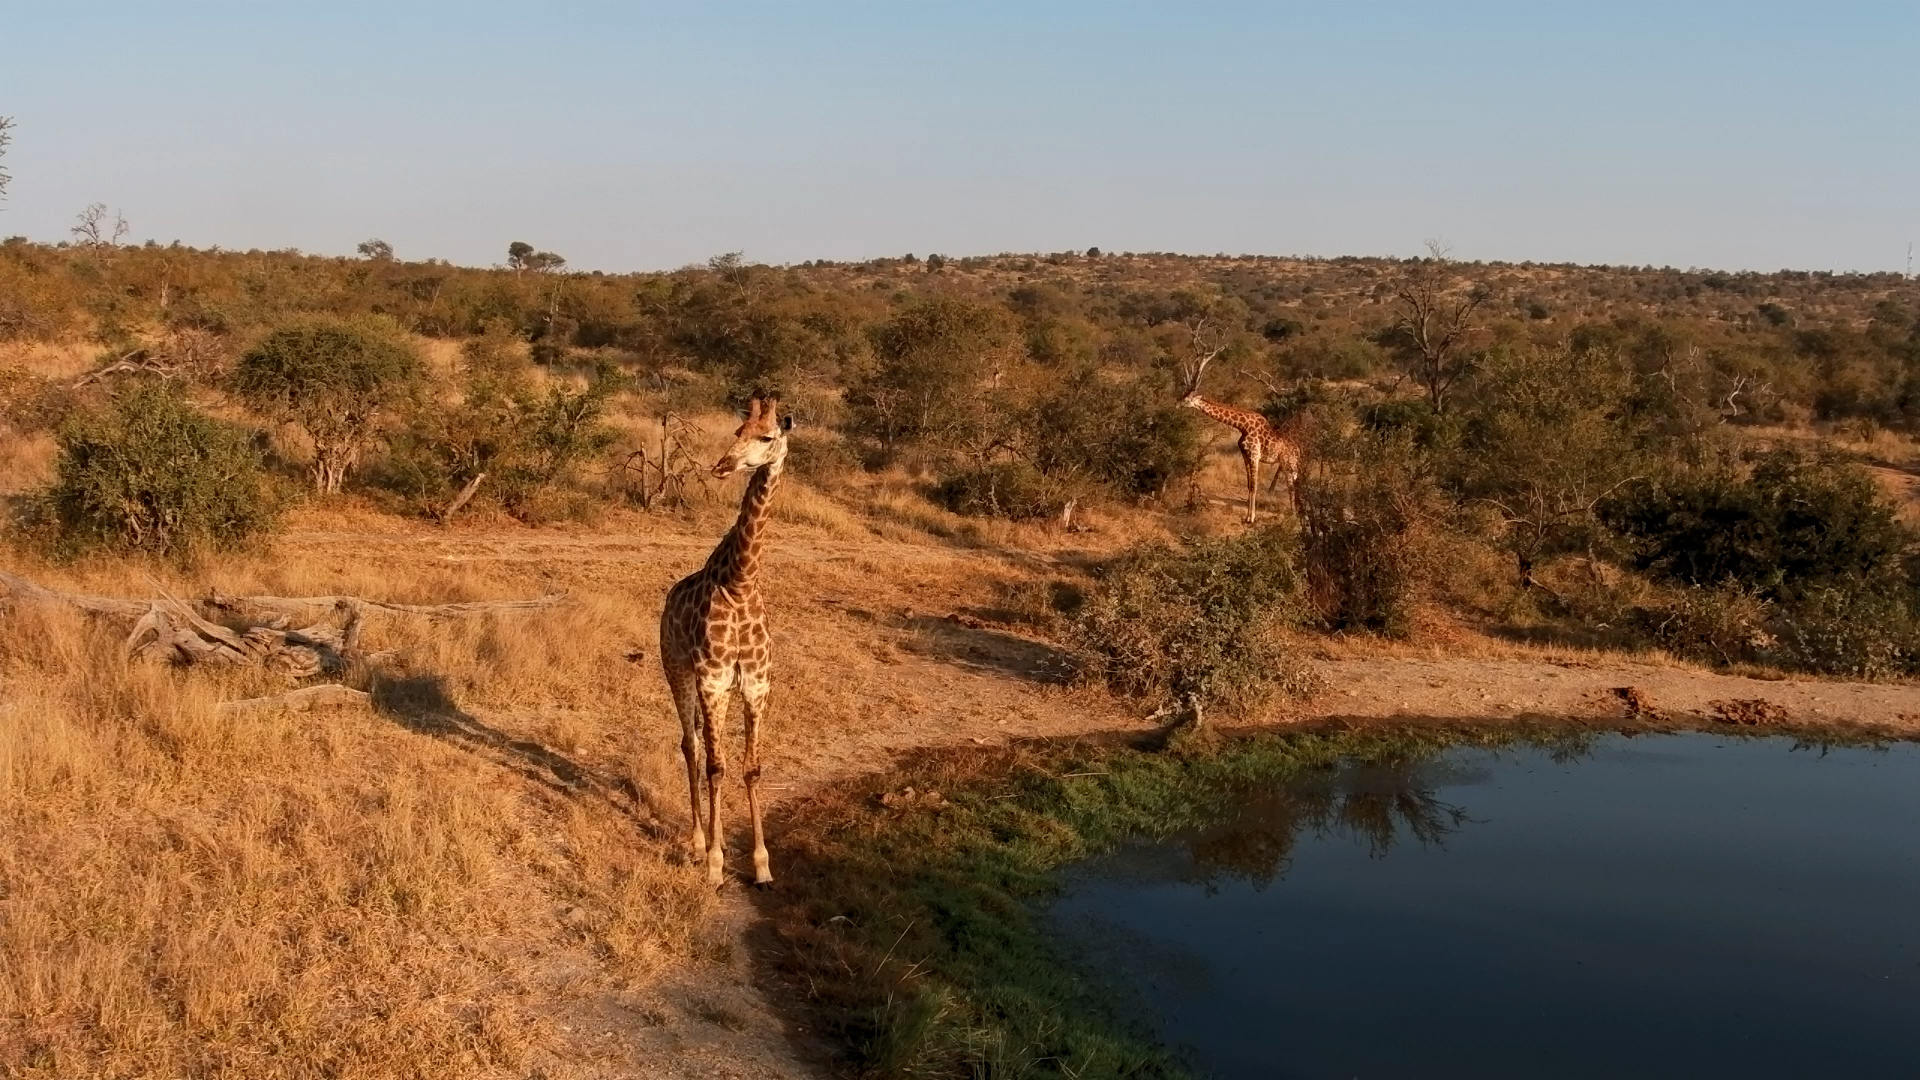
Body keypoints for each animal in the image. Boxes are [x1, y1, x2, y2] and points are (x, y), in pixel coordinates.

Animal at [659, 395, 791, 888]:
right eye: (738, 430)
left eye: (767, 436)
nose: (722, 465)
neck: (740, 583)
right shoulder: (712, 680)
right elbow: (718, 766)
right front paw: (716, 863)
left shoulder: (755, 684)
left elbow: (750, 768)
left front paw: (762, 865)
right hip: (676, 671)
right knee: (691, 745)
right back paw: (698, 842)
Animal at [1180, 390, 1300, 524]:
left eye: (1187, 399)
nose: (1178, 404)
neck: (1243, 426)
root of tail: (1298, 450)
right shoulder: (1245, 456)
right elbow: (1249, 485)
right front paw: (1247, 517)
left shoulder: (1254, 455)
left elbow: (1254, 485)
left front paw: (1251, 518)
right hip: (1287, 465)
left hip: (1288, 463)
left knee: (1291, 487)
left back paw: (1293, 516)